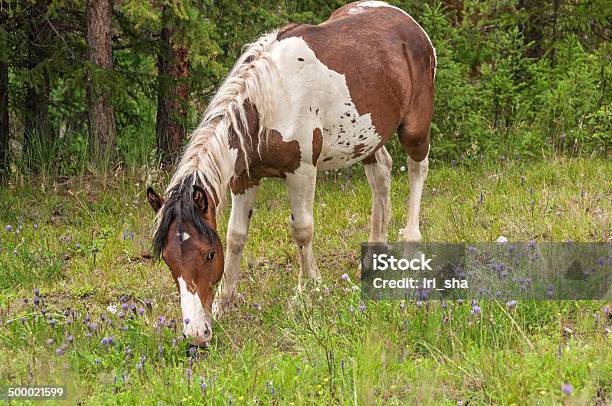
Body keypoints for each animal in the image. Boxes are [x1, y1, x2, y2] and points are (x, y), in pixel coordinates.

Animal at [147, 0, 436, 346]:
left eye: (208, 255)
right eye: (167, 258)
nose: (196, 334)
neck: (270, 100)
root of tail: (407, 21)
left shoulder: (301, 171)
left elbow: (302, 231)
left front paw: (309, 291)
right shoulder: (244, 177)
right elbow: (236, 235)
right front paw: (225, 302)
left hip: (415, 127)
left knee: (418, 169)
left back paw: (411, 244)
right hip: (368, 137)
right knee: (381, 174)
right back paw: (374, 256)